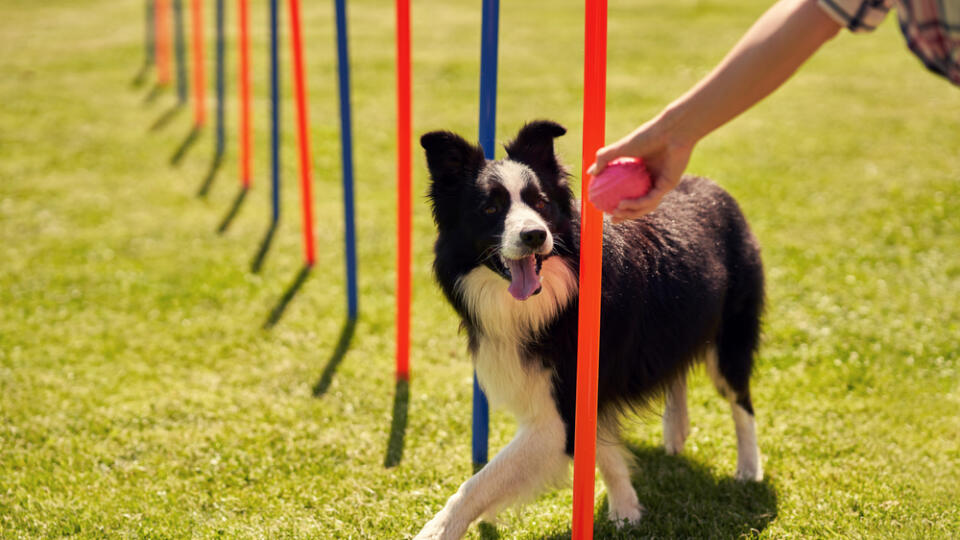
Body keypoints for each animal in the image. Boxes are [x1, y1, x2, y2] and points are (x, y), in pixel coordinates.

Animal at [416, 120, 760, 536]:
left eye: (541, 203)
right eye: (490, 208)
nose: (535, 235)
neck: (552, 301)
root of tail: (711, 186)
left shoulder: (559, 413)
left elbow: (477, 484)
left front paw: (435, 530)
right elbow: (603, 449)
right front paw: (626, 508)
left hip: (731, 335)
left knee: (741, 400)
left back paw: (749, 469)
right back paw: (676, 431)